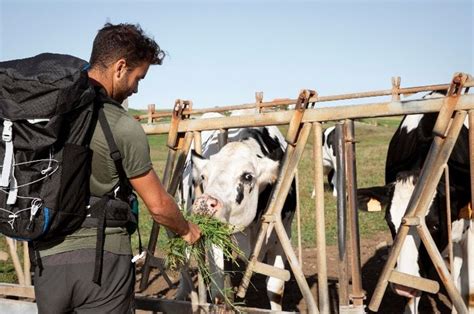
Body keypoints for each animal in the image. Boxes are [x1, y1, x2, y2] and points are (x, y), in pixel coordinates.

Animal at [178, 111, 296, 312]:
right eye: (204, 176)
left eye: (247, 176)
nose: (204, 203)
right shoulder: (216, 238)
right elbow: (218, 292)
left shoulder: (282, 234)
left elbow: (275, 288)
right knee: (185, 261)